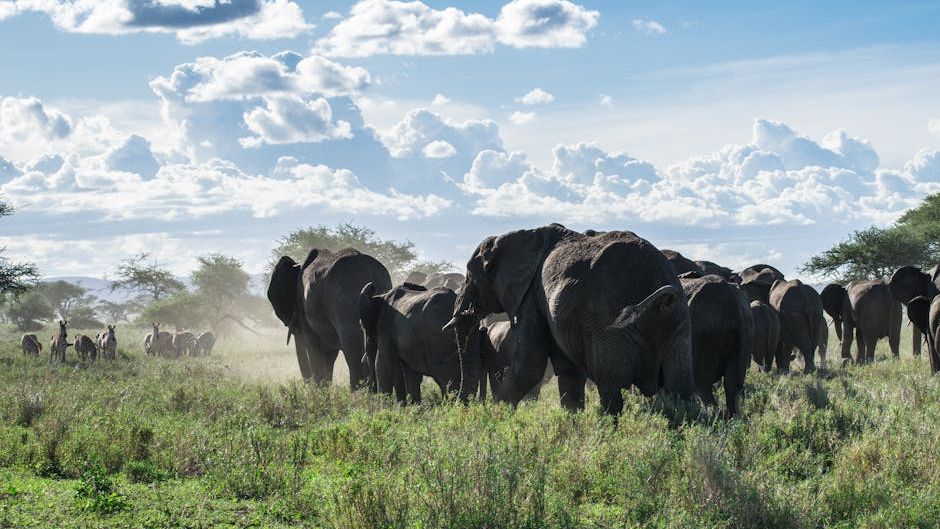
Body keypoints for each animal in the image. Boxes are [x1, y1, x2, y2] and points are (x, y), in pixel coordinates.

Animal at [268, 248, 392, 387]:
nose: (307, 385)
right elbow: (329, 354)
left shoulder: (303, 307)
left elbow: (315, 347)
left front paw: (320, 390)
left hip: (343, 301)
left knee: (352, 350)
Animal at [444, 224, 694, 415]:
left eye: (470, 275)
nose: (457, 407)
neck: (526, 235)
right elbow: (568, 371)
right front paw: (572, 423)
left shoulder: (531, 296)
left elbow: (529, 365)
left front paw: (494, 418)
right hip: (678, 326)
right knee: (681, 391)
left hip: (610, 327)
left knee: (612, 391)